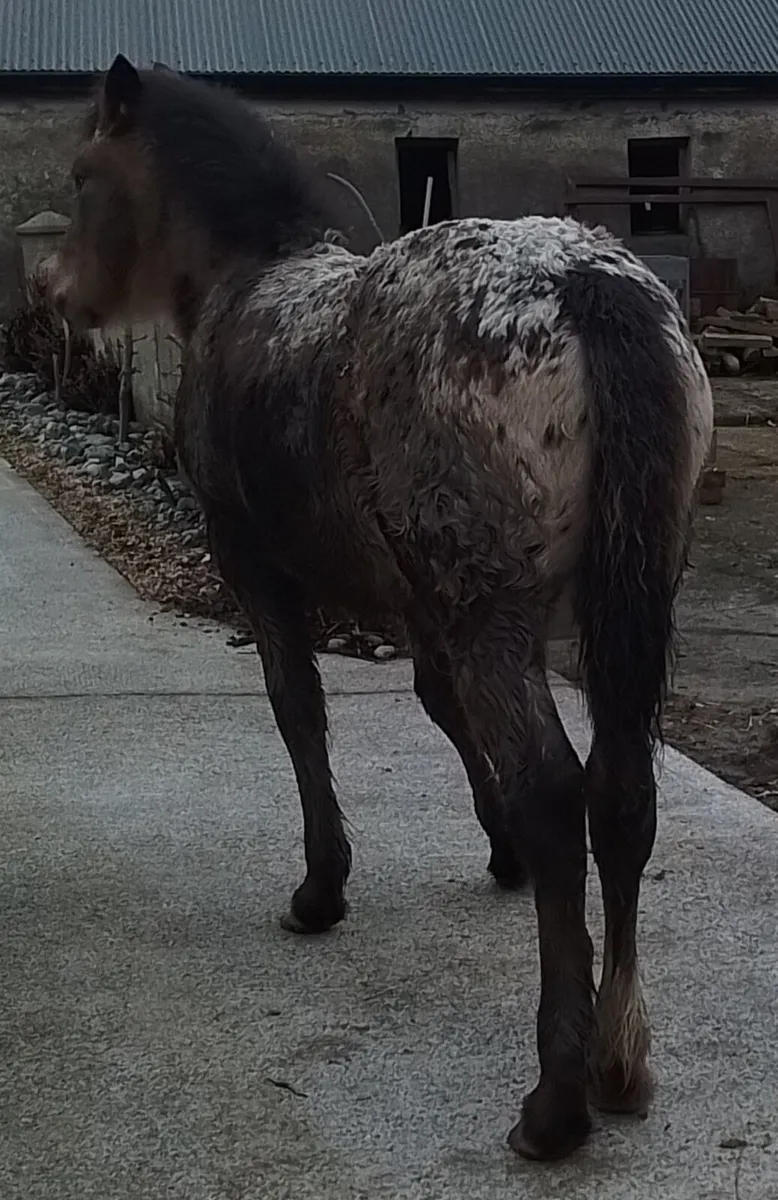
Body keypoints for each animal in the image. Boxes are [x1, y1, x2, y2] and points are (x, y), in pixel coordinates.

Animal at [47, 54, 713, 1162]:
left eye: (82, 172)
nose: (57, 297)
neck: (248, 282)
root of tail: (585, 286)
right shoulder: (415, 599)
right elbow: (437, 706)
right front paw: (496, 852)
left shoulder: (255, 566)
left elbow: (299, 713)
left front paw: (321, 890)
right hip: (629, 586)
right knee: (622, 793)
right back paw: (622, 1063)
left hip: (496, 612)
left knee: (556, 789)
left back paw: (555, 1102)